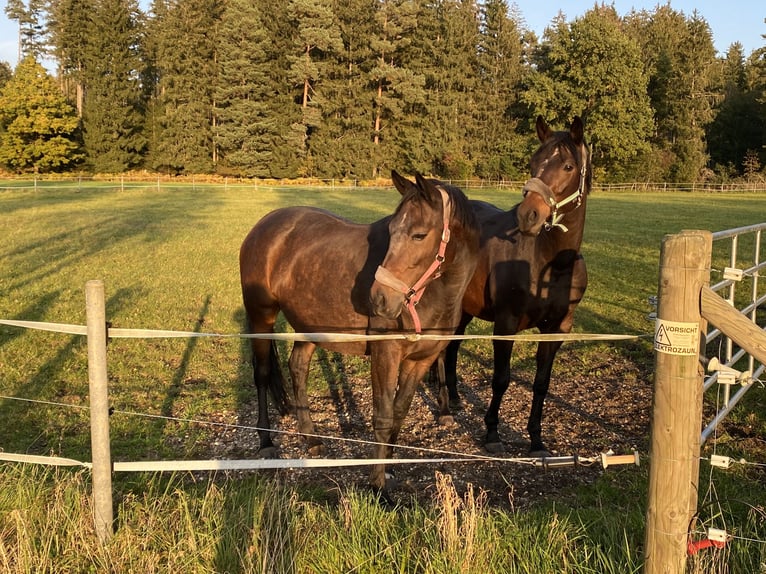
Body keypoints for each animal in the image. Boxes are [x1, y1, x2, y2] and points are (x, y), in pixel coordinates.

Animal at [240, 170, 480, 496]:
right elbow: (383, 415)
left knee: (297, 368)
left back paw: (311, 439)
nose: (379, 299)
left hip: (310, 326)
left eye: (419, 234)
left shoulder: (421, 360)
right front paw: (378, 486)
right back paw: (266, 442)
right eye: (391, 230)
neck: (434, 294)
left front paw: (389, 468)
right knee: (263, 374)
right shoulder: (385, 353)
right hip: (261, 317)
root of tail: (264, 225)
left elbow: (399, 412)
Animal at [438, 118, 592, 460]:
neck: (551, 264)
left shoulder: (557, 329)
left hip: (463, 310)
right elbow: (501, 379)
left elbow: (541, 383)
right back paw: (443, 408)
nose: (528, 215)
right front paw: (492, 433)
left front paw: (536, 440)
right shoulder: (506, 323)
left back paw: (453, 399)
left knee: (451, 348)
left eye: (568, 166)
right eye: (533, 163)